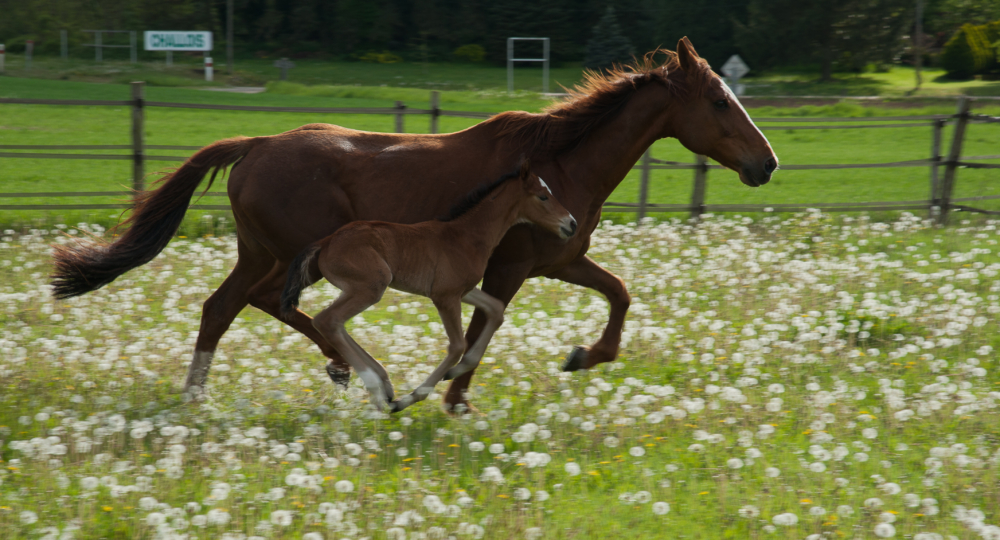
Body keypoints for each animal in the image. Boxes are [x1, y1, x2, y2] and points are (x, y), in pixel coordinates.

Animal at [280, 162, 580, 412]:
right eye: (543, 196)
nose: (571, 224)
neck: (466, 235)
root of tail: (326, 242)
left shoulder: (464, 290)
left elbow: (496, 310)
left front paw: (457, 371)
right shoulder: (444, 296)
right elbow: (457, 345)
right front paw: (415, 395)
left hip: (357, 288)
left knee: (336, 324)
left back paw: (384, 384)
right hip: (372, 286)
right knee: (327, 320)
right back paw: (378, 390)